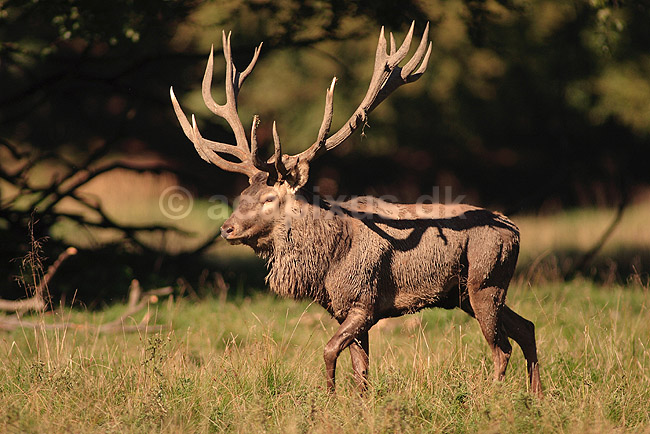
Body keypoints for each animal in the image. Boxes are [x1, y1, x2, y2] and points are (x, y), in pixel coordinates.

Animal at [170, 22, 542, 397]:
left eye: (269, 199)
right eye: (244, 193)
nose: (226, 228)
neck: (328, 263)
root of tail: (516, 231)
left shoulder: (364, 300)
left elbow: (330, 350)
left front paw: (330, 396)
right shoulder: (343, 309)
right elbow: (361, 369)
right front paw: (359, 402)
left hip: (485, 280)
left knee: (501, 347)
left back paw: (493, 396)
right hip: (466, 293)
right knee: (527, 326)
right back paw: (536, 395)